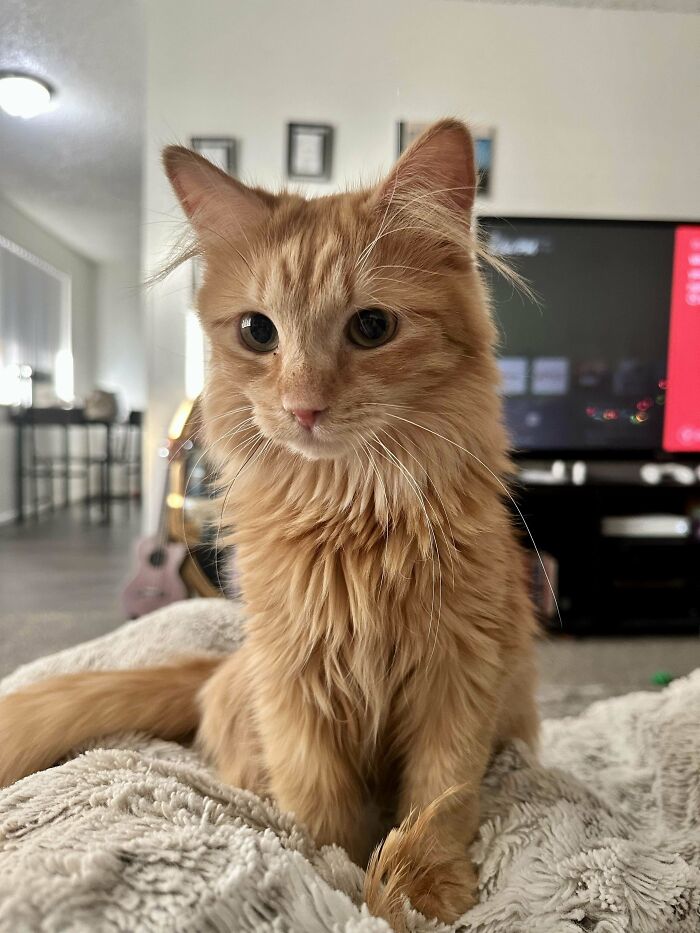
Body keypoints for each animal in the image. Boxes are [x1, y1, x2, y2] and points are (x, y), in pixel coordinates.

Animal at [0, 120, 540, 928]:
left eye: (372, 326)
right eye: (258, 332)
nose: (303, 406)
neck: (350, 511)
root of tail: (216, 670)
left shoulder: (461, 672)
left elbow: (439, 797)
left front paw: (425, 890)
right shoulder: (292, 681)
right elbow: (321, 805)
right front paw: (333, 876)